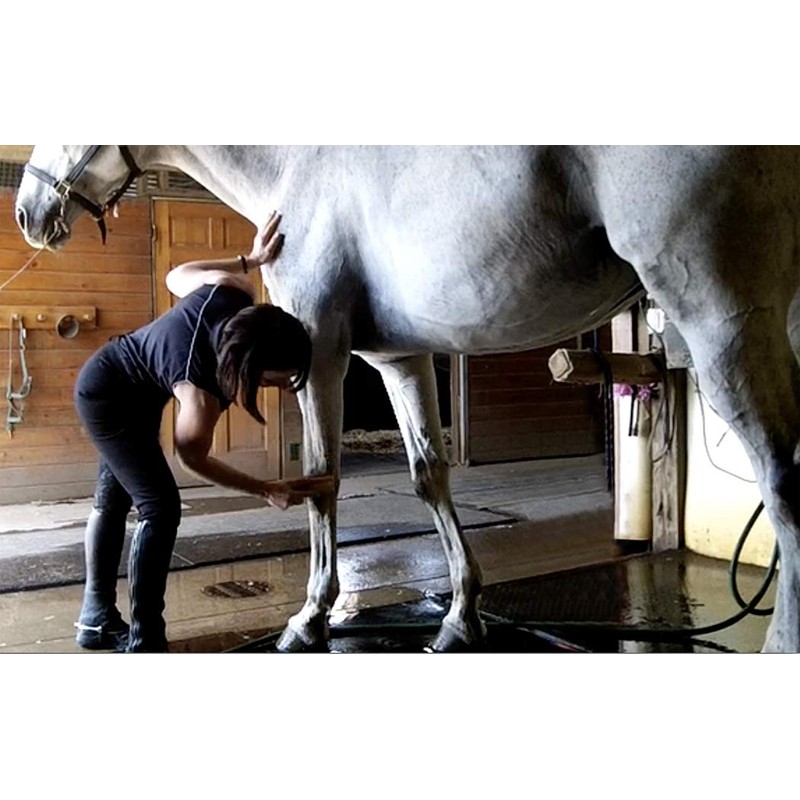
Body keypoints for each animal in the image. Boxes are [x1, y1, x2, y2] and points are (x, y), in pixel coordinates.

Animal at [14, 145, 800, 653]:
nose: (28, 211)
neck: (297, 168)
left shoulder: (319, 358)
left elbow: (322, 483)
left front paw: (310, 619)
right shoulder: (399, 358)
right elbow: (429, 476)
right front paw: (460, 618)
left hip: (724, 314)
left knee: (781, 479)